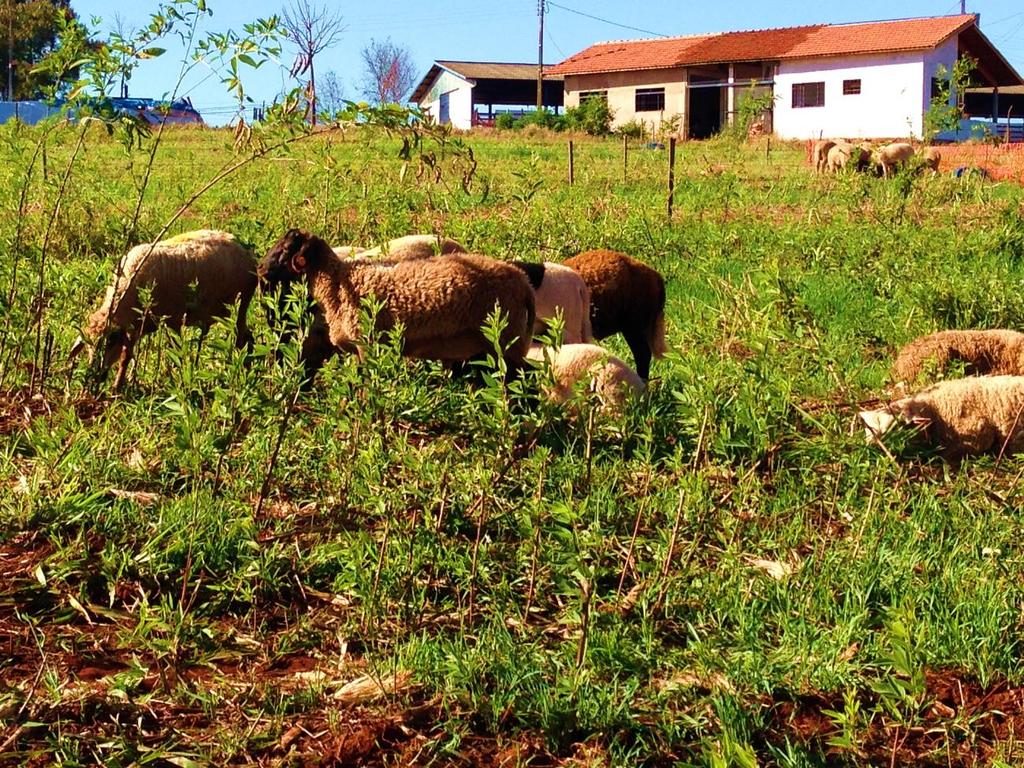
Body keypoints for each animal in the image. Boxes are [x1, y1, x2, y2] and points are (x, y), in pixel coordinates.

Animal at [71, 227, 256, 385]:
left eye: (109, 343)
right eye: (88, 347)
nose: (94, 376)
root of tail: (244, 247)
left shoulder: (173, 320)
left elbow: (173, 353)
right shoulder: (139, 324)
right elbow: (128, 355)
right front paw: (126, 381)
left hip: (241, 305)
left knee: (240, 339)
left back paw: (241, 371)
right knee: (249, 337)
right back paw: (248, 368)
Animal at [256, 228, 536, 370]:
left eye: (285, 250)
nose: (260, 268)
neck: (339, 281)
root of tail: (524, 283)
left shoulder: (366, 345)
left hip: (506, 344)